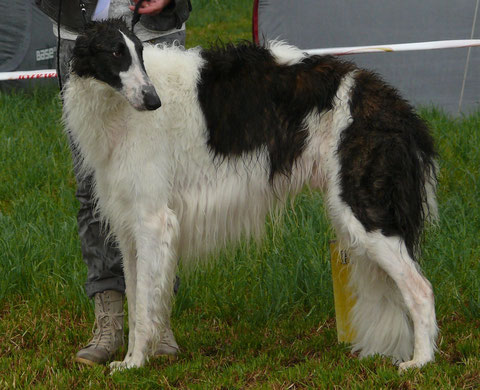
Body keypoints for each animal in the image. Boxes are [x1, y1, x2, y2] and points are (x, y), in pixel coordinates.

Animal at [63, 19, 438, 372]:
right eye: (115, 53)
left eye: (138, 52)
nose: (153, 101)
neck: (116, 108)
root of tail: (393, 104)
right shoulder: (129, 226)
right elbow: (136, 298)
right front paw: (129, 359)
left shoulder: (153, 220)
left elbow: (143, 306)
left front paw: (135, 364)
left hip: (364, 211)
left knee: (421, 289)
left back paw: (420, 362)